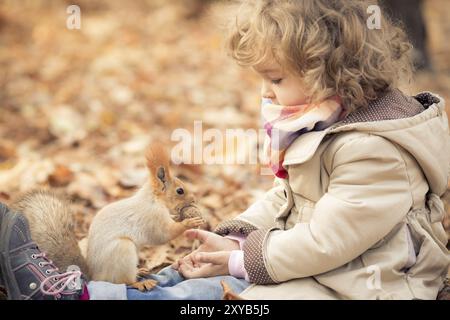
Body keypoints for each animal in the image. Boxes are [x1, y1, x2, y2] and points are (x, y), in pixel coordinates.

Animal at [86, 144, 206, 292]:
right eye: (180, 191)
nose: (194, 199)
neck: (154, 199)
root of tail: (96, 277)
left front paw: (178, 217)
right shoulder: (153, 216)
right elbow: (164, 234)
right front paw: (189, 222)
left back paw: (139, 271)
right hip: (123, 250)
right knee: (123, 281)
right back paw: (140, 283)